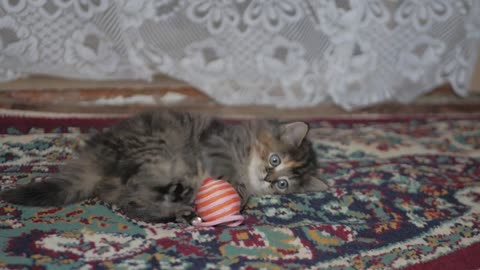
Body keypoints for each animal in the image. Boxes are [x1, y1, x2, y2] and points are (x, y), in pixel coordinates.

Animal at [0, 110, 328, 223]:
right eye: (275, 160)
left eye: (284, 184)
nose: (269, 178)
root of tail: (97, 157)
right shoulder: (216, 143)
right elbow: (228, 171)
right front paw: (237, 189)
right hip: (160, 153)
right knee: (134, 196)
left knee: (130, 201)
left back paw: (176, 208)